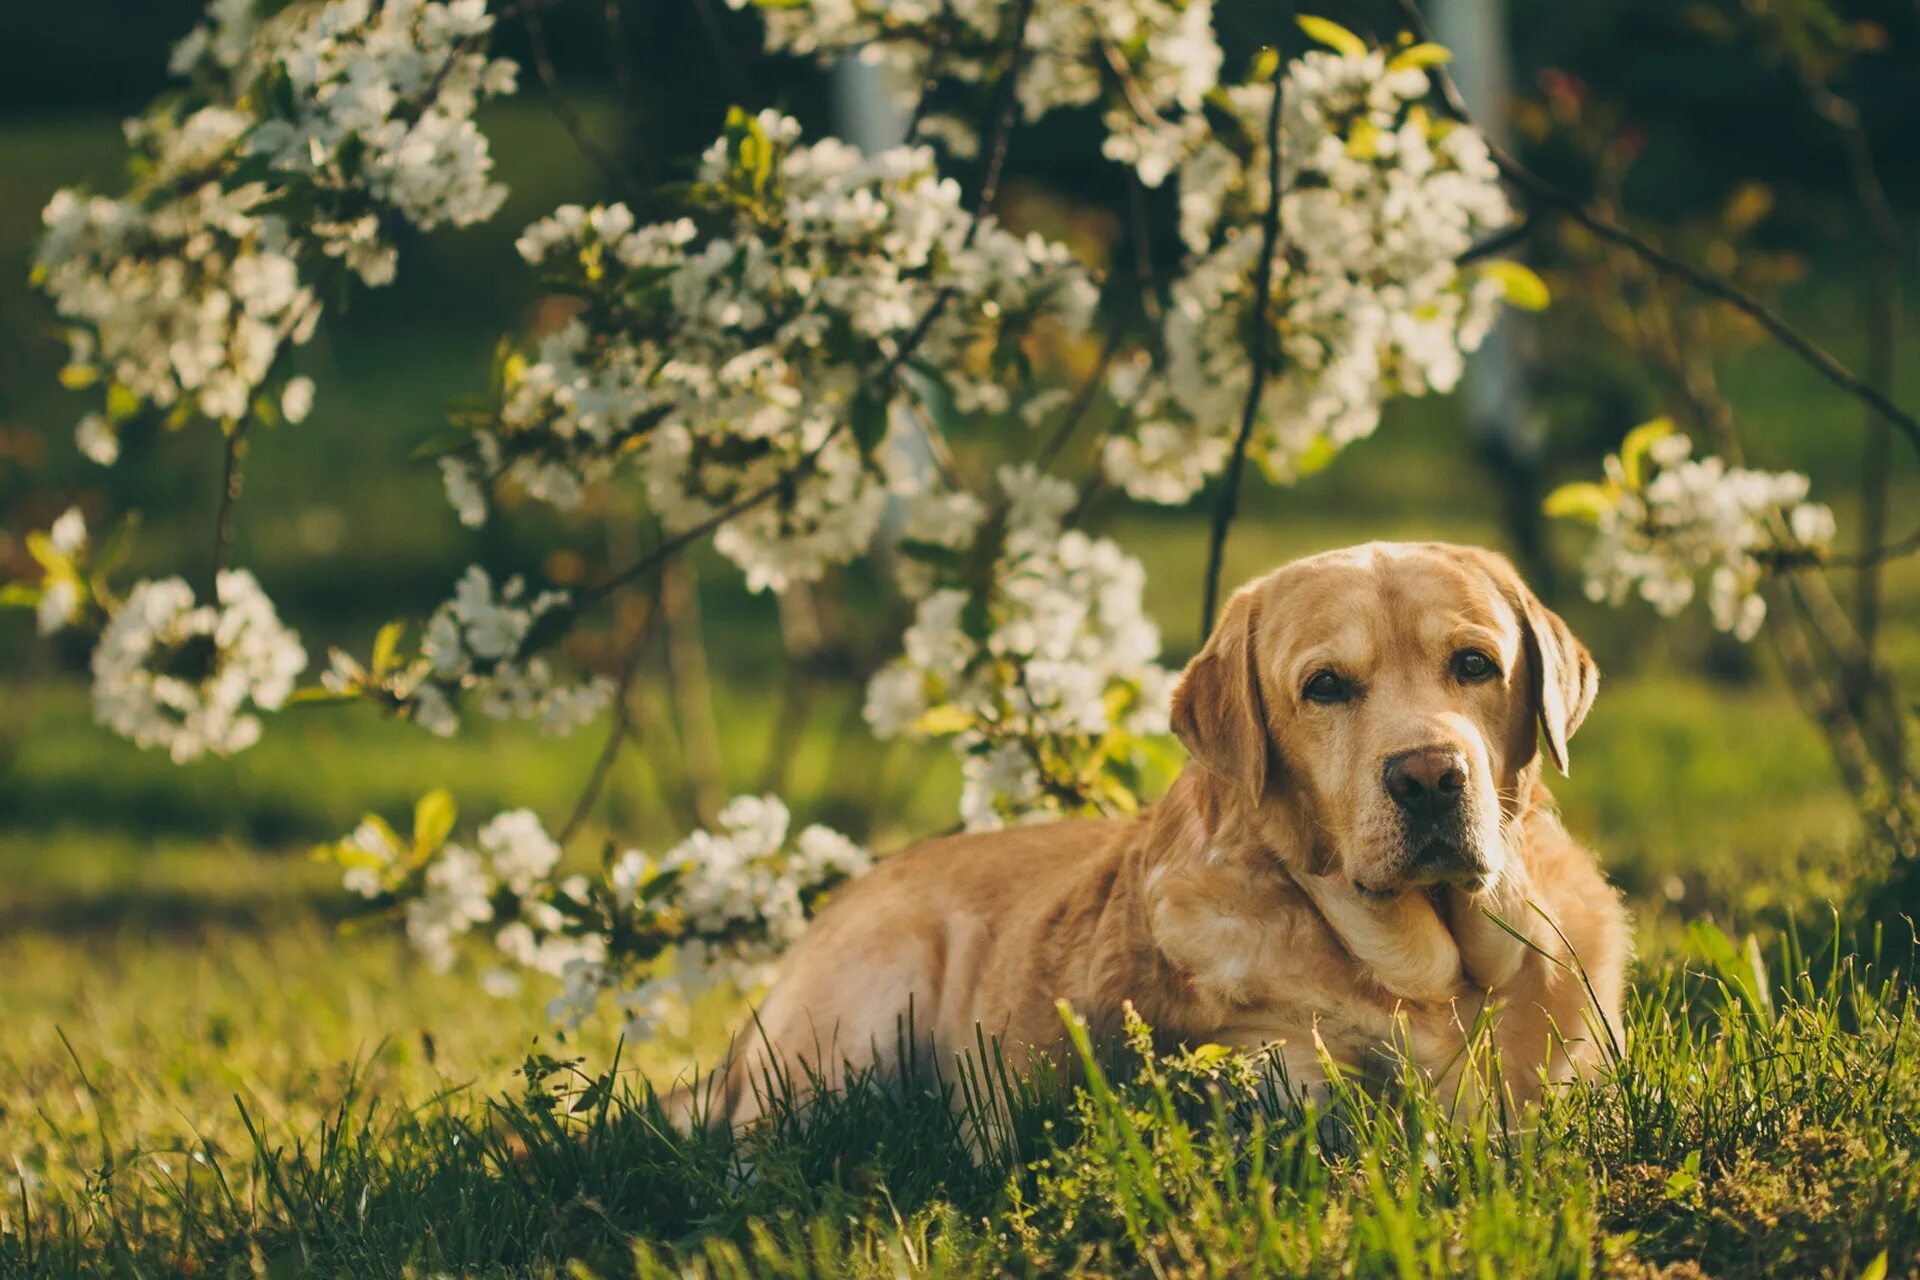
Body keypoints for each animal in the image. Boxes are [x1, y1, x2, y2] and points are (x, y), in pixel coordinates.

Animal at [698, 545, 1628, 1128]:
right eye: (1326, 686)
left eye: (1474, 665)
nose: (1429, 776)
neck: (1446, 985)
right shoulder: (1281, 1084)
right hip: (864, 1012)